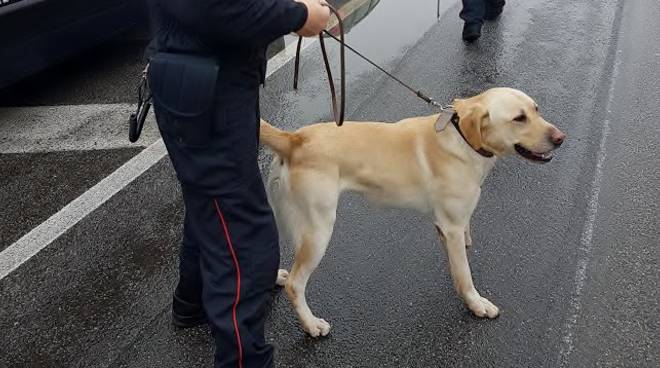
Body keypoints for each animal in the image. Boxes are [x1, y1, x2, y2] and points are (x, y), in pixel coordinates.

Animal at [260, 87, 564, 336]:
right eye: (519, 118)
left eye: (536, 109)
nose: (561, 138)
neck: (462, 139)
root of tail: (295, 139)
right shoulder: (452, 227)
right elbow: (465, 275)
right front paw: (476, 303)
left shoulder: (448, 227)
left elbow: (458, 261)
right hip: (318, 229)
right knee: (296, 285)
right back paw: (311, 324)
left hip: (282, 214)